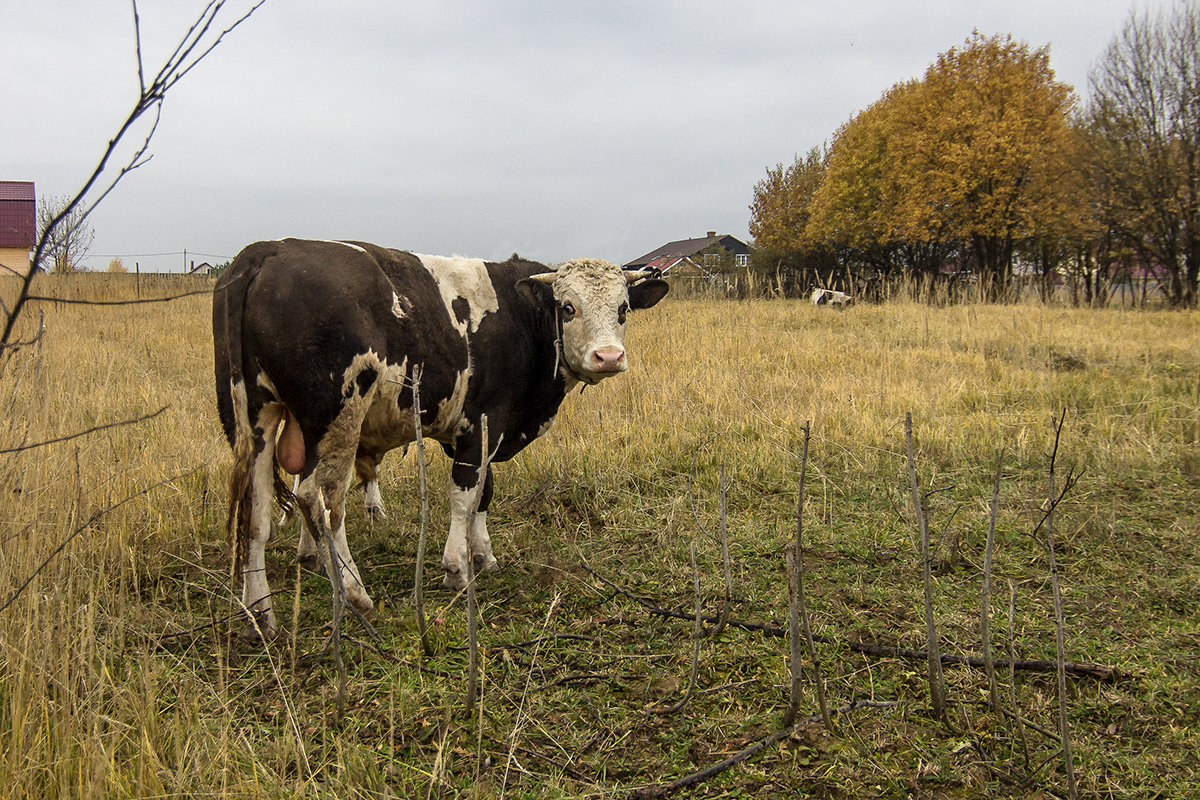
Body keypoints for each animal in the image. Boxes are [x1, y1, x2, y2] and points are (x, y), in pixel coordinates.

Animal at [212, 237, 672, 638]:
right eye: (568, 307)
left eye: (623, 309)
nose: (608, 356)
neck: (519, 318)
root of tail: (269, 249)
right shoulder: (482, 422)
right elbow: (465, 495)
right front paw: (457, 568)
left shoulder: (483, 431)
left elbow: (485, 493)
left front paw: (483, 554)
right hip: (336, 418)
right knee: (320, 500)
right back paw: (355, 594)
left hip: (256, 416)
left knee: (256, 512)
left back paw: (259, 615)